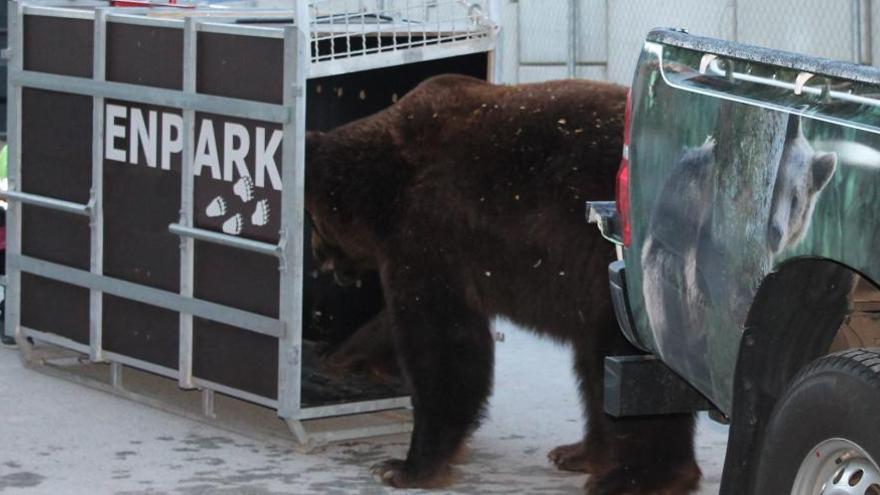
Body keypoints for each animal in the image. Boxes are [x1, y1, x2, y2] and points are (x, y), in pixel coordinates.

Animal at [306, 74, 696, 495]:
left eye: (314, 221)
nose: (320, 257)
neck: (384, 191)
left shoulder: (430, 232)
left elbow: (442, 342)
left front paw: (405, 466)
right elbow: (395, 326)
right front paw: (336, 353)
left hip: (625, 281)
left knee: (628, 369)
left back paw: (632, 477)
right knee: (596, 367)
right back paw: (579, 452)